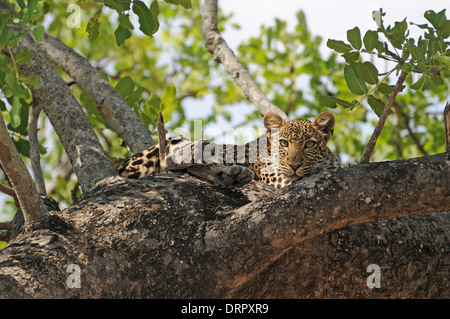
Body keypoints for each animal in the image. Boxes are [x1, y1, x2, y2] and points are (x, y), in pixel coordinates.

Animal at [115, 112, 342, 189]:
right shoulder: (274, 175)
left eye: (309, 144)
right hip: (170, 145)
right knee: (170, 159)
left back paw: (232, 175)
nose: (295, 165)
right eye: (284, 143)